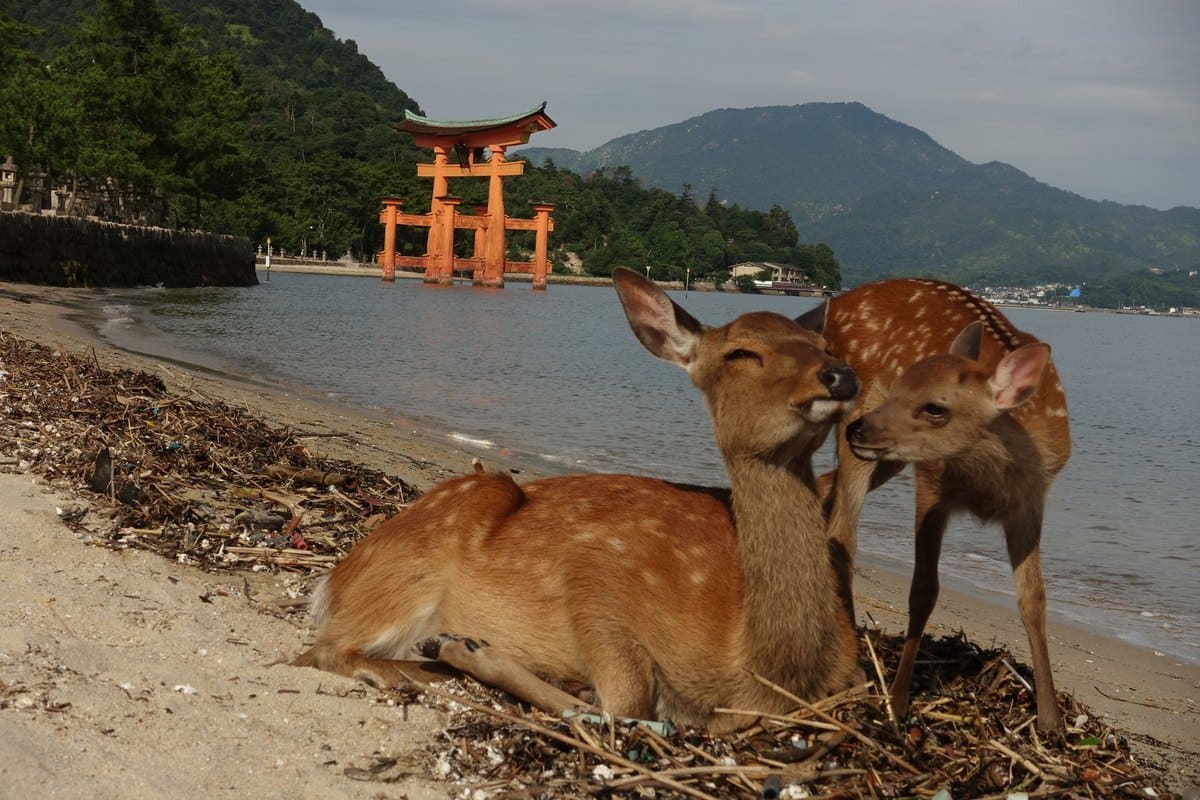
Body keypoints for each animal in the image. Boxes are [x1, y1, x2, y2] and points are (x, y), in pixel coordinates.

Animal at [292, 266, 863, 733]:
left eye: (824, 343)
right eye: (740, 351)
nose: (841, 375)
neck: (762, 667)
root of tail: (330, 582)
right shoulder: (598, 582)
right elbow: (626, 704)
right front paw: (472, 651)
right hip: (417, 555)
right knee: (328, 648)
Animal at [797, 279, 1071, 733]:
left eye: (936, 407)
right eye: (900, 387)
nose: (860, 429)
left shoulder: (1031, 503)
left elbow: (1034, 599)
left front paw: (1050, 721)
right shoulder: (932, 484)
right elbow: (924, 588)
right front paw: (899, 699)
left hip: (887, 456)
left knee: (821, 493)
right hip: (863, 431)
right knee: (842, 533)